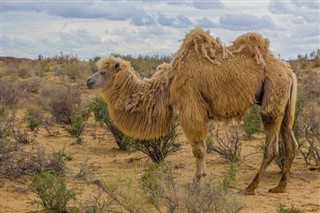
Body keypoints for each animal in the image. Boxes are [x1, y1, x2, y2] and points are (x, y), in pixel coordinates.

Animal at [87, 27, 298, 194]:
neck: (169, 82)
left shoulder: (191, 107)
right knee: (290, 141)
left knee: (271, 146)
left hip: (272, 99)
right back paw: (280, 186)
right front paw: (201, 178)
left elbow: (199, 150)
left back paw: (251, 187)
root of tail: (289, 72)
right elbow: (201, 148)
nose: (88, 81)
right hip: (285, 106)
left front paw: (197, 183)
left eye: (103, 72)